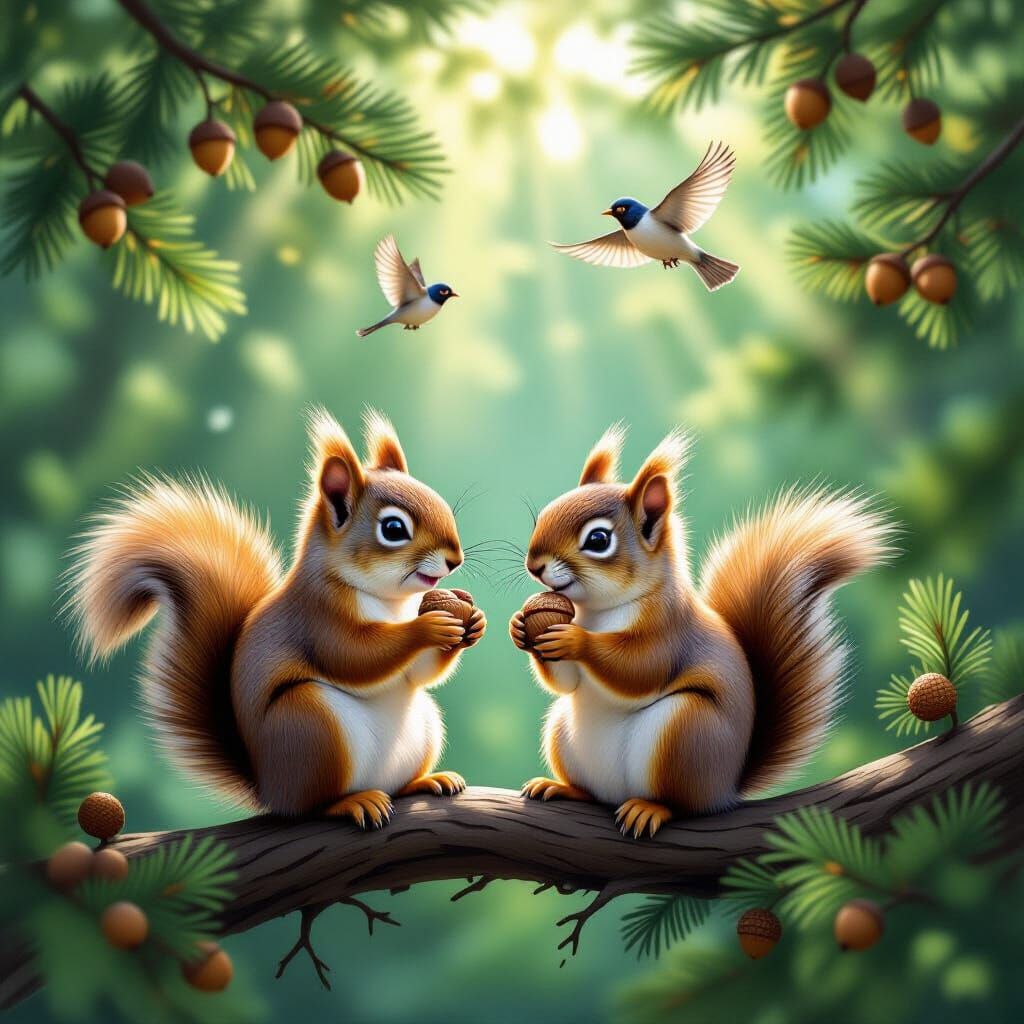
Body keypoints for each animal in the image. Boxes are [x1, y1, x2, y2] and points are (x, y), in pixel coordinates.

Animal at [67, 408, 486, 828]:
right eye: (394, 528)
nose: (455, 559)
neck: (389, 601)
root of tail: (269, 787)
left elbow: (418, 674)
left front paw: (473, 621)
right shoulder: (317, 618)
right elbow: (354, 656)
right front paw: (427, 627)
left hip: (422, 726)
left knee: (396, 783)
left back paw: (426, 781)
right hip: (310, 726)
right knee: (312, 805)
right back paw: (352, 802)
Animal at [510, 425, 894, 838]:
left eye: (598, 540)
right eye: (543, 515)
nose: (534, 565)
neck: (597, 611)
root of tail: (724, 788)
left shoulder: (669, 632)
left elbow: (639, 669)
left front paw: (575, 640)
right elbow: (565, 682)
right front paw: (521, 629)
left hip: (685, 733)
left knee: (683, 805)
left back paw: (650, 808)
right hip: (563, 731)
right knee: (593, 792)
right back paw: (562, 787)